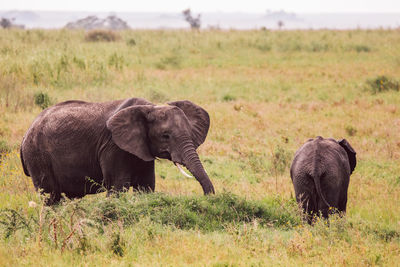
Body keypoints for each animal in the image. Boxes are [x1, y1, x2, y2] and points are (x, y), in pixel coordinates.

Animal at [21, 97, 216, 204]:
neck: (151, 107)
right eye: (165, 136)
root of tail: (25, 135)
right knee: (50, 197)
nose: (207, 198)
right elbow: (118, 185)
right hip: (37, 155)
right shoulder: (113, 145)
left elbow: (146, 186)